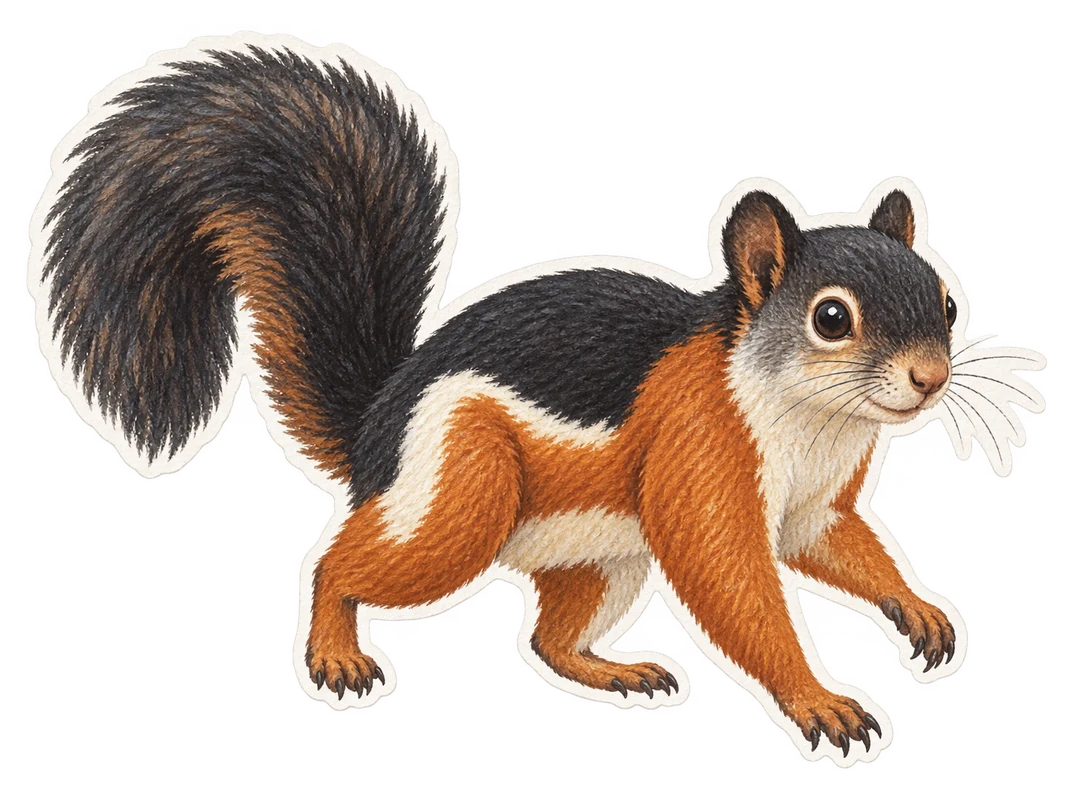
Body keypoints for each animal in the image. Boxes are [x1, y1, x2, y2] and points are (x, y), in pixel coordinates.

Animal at [27, 34, 1046, 761]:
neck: (807, 416)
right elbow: (735, 583)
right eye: (832, 317)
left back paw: (616, 671)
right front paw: (822, 699)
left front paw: (920, 610)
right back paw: (335, 650)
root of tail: (375, 427)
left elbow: (838, 547)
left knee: (546, 639)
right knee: (342, 562)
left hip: (600, 556)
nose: (929, 378)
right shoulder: (699, 454)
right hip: (460, 493)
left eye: (946, 300)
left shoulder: (814, 504)